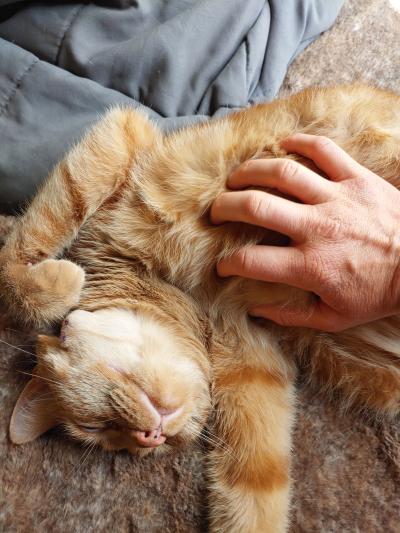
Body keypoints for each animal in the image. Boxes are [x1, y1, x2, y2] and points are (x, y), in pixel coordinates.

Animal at [0, 85, 400, 528]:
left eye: (95, 424)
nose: (151, 438)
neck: (189, 297)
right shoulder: (254, 369)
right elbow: (254, 496)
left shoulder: (128, 141)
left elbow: (24, 250)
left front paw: (56, 284)